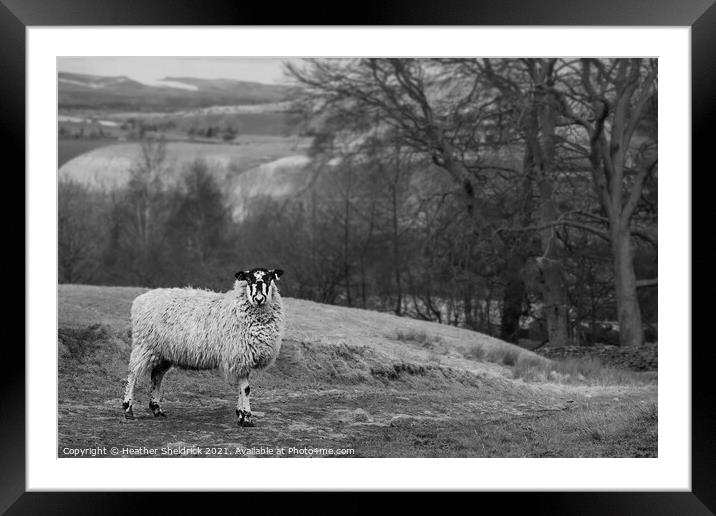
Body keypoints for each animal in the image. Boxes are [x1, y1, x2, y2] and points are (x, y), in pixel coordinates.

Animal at [121, 266, 284, 428]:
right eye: (248, 280)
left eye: (269, 278)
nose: (259, 299)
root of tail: (141, 299)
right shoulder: (239, 355)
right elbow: (245, 389)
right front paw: (246, 418)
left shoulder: (244, 358)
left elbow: (241, 388)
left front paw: (240, 414)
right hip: (144, 345)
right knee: (133, 374)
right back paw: (128, 410)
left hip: (164, 351)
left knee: (156, 375)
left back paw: (157, 409)